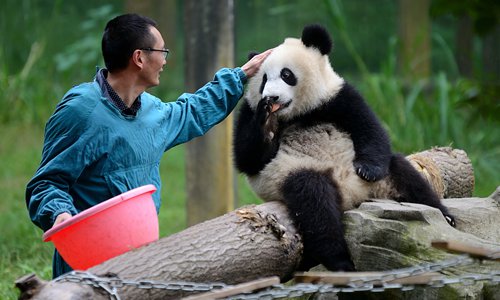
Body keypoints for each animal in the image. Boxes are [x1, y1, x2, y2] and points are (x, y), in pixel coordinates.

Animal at [232, 24, 456, 272]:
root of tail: (355, 195)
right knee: (314, 201)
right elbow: (248, 159)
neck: (298, 114)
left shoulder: (337, 97)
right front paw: (266, 122)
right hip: (293, 173)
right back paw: (340, 261)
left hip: (384, 178)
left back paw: (444, 217)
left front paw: (368, 169)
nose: (271, 97)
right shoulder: (248, 112)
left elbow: (369, 128)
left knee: (404, 173)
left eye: (286, 74)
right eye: (263, 80)